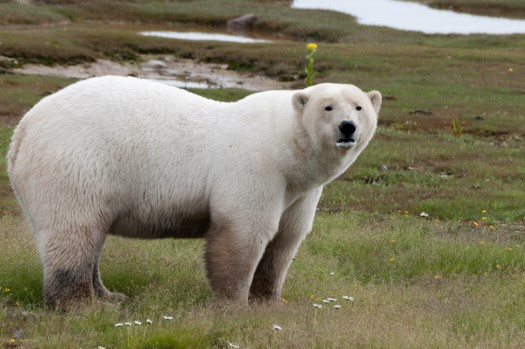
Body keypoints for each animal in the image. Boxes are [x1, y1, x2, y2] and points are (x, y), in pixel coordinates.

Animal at [6, 75, 378, 308]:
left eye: (359, 106)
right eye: (328, 107)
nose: (348, 128)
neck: (285, 146)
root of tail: (22, 130)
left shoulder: (299, 191)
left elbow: (285, 240)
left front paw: (269, 301)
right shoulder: (255, 167)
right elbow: (244, 233)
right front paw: (234, 304)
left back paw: (110, 296)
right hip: (77, 166)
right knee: (75, 231)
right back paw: (83, 305)